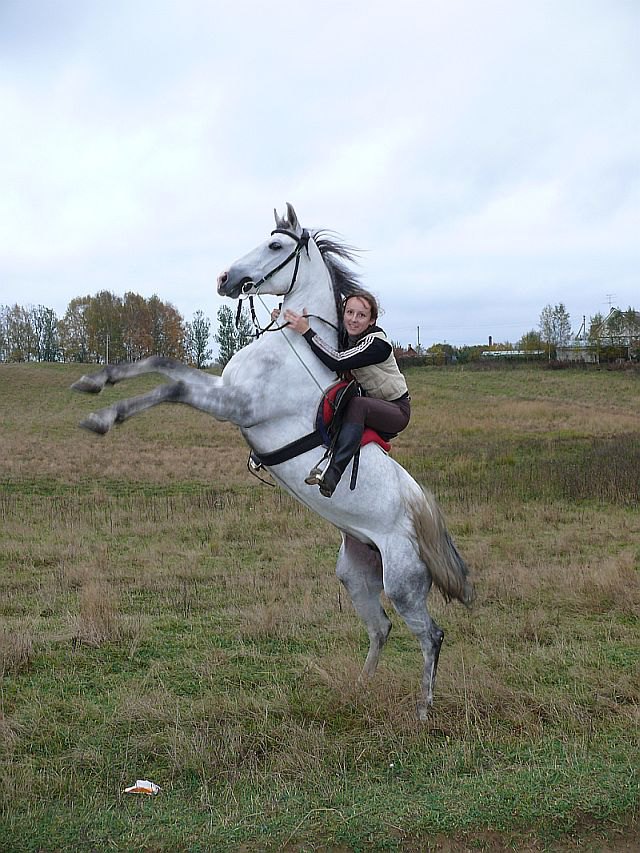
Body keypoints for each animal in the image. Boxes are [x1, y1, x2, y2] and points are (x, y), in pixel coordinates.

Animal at [72, 203, 472, 716]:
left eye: (276, 245)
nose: (225, 278)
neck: (293, 346)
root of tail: (422, 513)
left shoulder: (236, 404)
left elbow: (172, 387)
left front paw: (105, 417)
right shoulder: (224, 390)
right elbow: (162, 363)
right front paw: (94, 382)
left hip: (403, 583)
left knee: (430, 635)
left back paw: (422, 710)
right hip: (356, 573)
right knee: (380, 627)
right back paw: (359, 689)